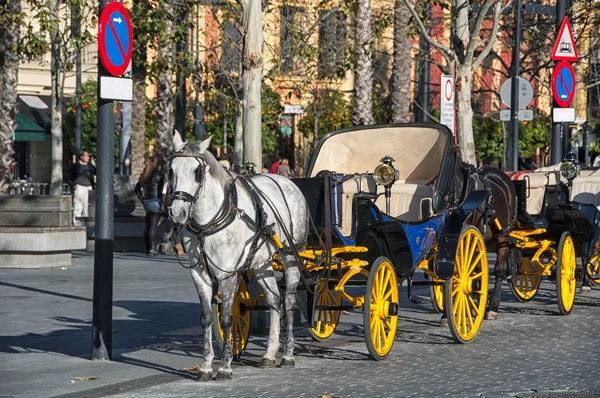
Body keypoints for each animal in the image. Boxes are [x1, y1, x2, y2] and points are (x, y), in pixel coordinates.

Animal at [169, 134, 310, 382]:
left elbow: (226, 318)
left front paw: (225, 366)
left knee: (290, 301)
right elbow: (207, 317)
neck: (207, 224)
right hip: (262, 263)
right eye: (171, 169)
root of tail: (288, 181)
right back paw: (269, 354)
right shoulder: (199, 274)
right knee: (275, 300)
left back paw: (287, 354)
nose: (178, 214)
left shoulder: (227, 274)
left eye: (197, 172)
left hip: (291, 255)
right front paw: (206, 366)